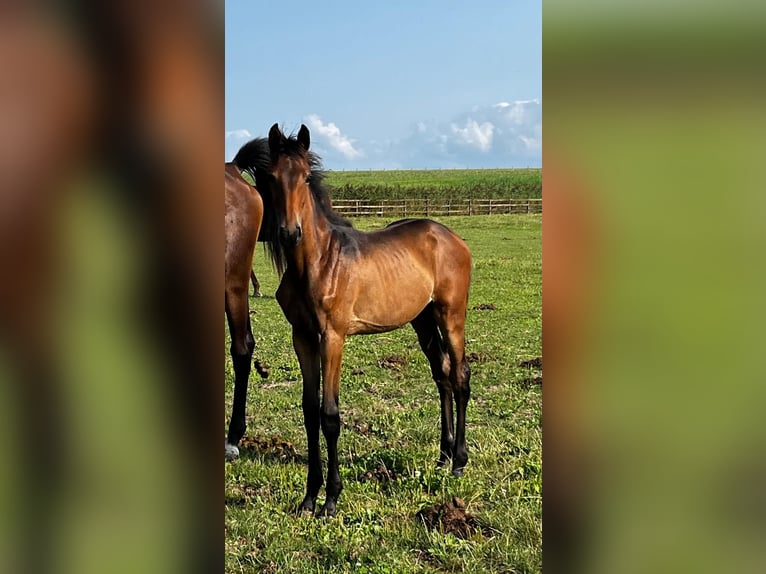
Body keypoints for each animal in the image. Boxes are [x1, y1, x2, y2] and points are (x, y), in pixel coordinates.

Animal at [237, 125, 474, 516]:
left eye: (306, 176)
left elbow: (330, 415)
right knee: (441, 374)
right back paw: (442, 457)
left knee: (460, 376)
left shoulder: (333, 336)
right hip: (423, 320)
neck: (317, 262)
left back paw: (459, 462)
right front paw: (308, 497)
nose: (289, 233)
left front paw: (332, 498)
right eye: (270, 177)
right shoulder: (302, 337)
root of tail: (450, 236)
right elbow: (310, 410)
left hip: (451, 314)